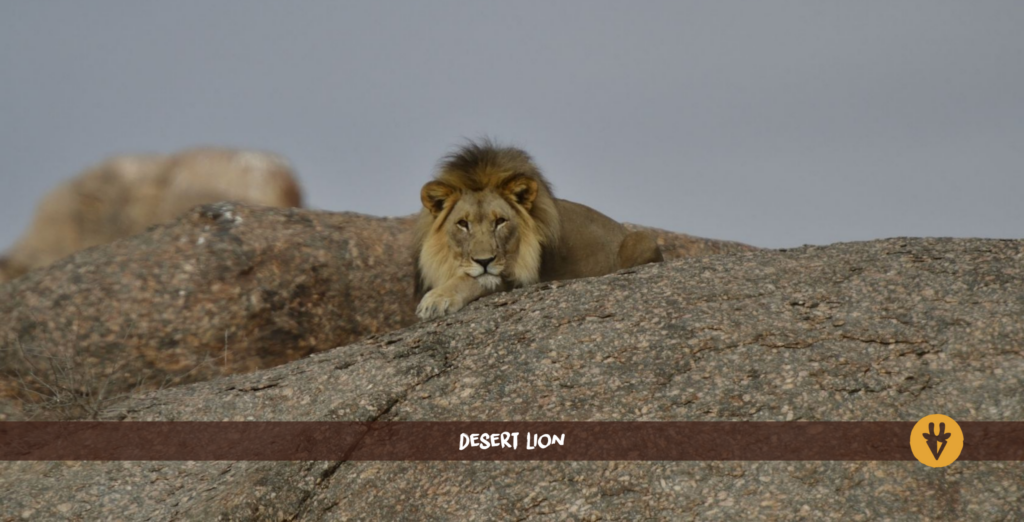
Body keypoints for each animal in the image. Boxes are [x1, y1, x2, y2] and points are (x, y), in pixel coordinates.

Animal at [415, 140, 663, 320]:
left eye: (500, 221)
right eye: (463, 224)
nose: (484, 261)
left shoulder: (518, 277)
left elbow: (472, 280)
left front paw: (436, 300)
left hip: (641, 239)